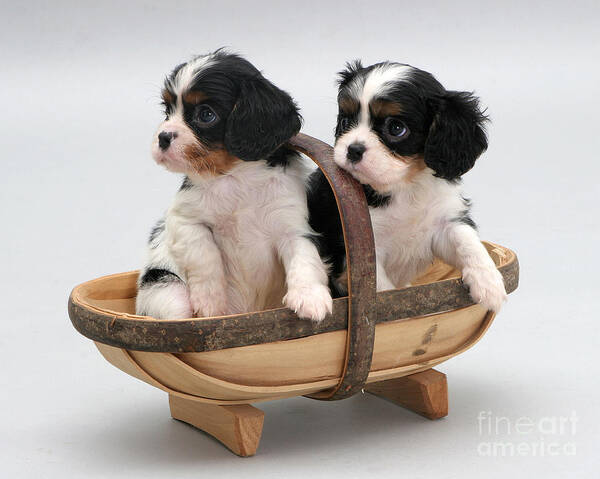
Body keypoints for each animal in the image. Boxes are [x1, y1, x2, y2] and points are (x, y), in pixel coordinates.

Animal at [136, 51, 332, 322]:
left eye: (206, 114)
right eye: (167, 111)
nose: (163, 137)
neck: (236, 176)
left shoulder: (292, 225)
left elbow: (305, 258)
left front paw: (310, 298)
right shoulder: (184, 219)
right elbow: (204, 254)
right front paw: (210, 302)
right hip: (167, 291)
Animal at [310, 61, 506, 312]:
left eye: (396, 128)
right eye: (345, 122)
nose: (353, 149)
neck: (404, 185)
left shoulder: (445, 220)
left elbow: (467, 241)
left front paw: (489, 282)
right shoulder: (360, 249)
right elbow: (383, 290)